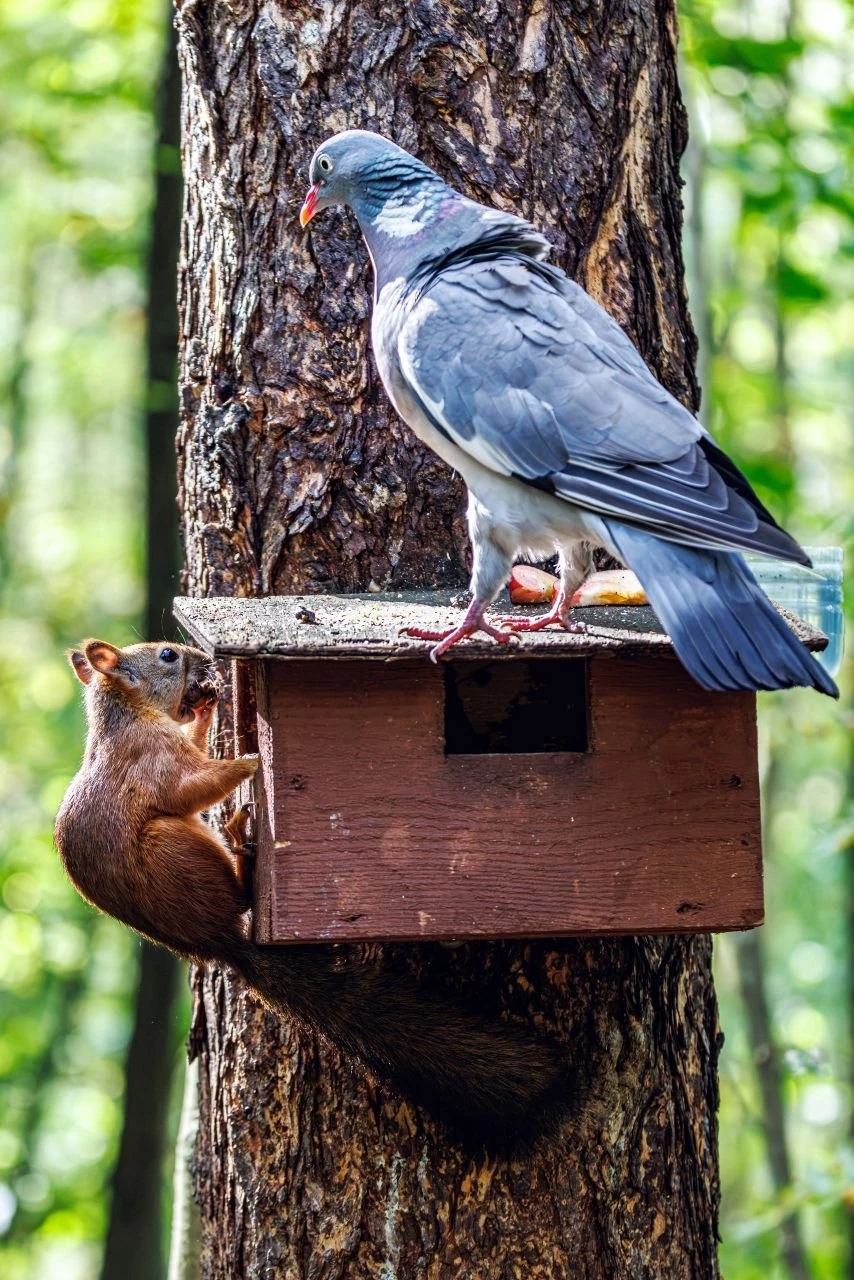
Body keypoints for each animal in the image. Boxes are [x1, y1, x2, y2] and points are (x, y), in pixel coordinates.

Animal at [54, 639, 570, 1145]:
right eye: (167, 656)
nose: (206, 666)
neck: (131, 716)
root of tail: (220, 943)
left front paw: (211, 713)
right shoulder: (151, 759)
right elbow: (190, 788)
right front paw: (252, 759)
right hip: (173, 847)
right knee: (239, 897)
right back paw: (242, 844)